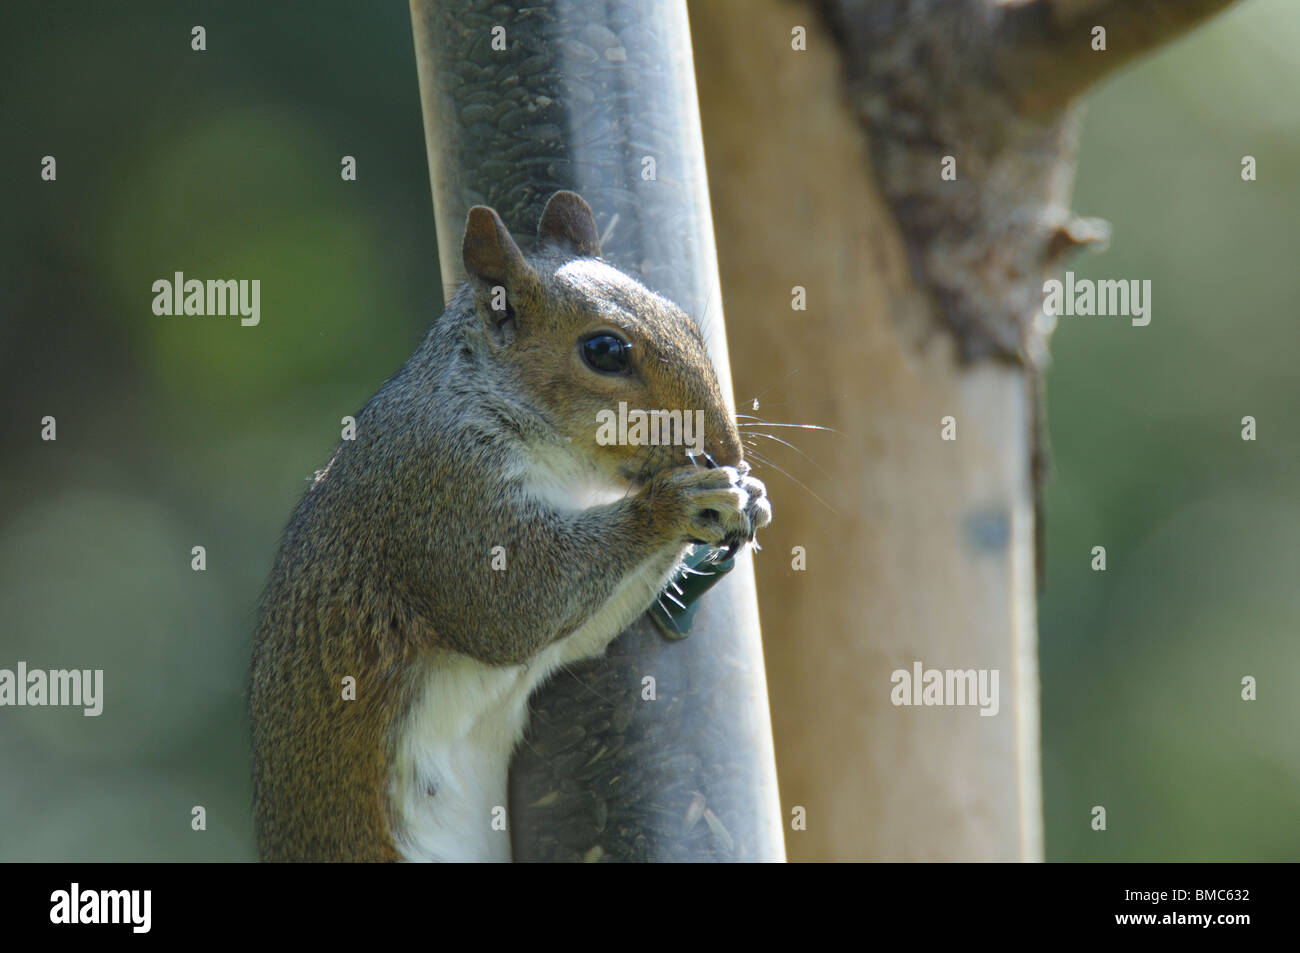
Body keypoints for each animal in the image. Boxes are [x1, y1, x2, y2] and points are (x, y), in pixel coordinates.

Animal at [248, 189, 764, 858]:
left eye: (691, 327)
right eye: (604, 351)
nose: (725, 451)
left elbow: (579, 629)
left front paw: (748, 495)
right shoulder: (440, 489)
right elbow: (514, 606)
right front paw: (675, 504)